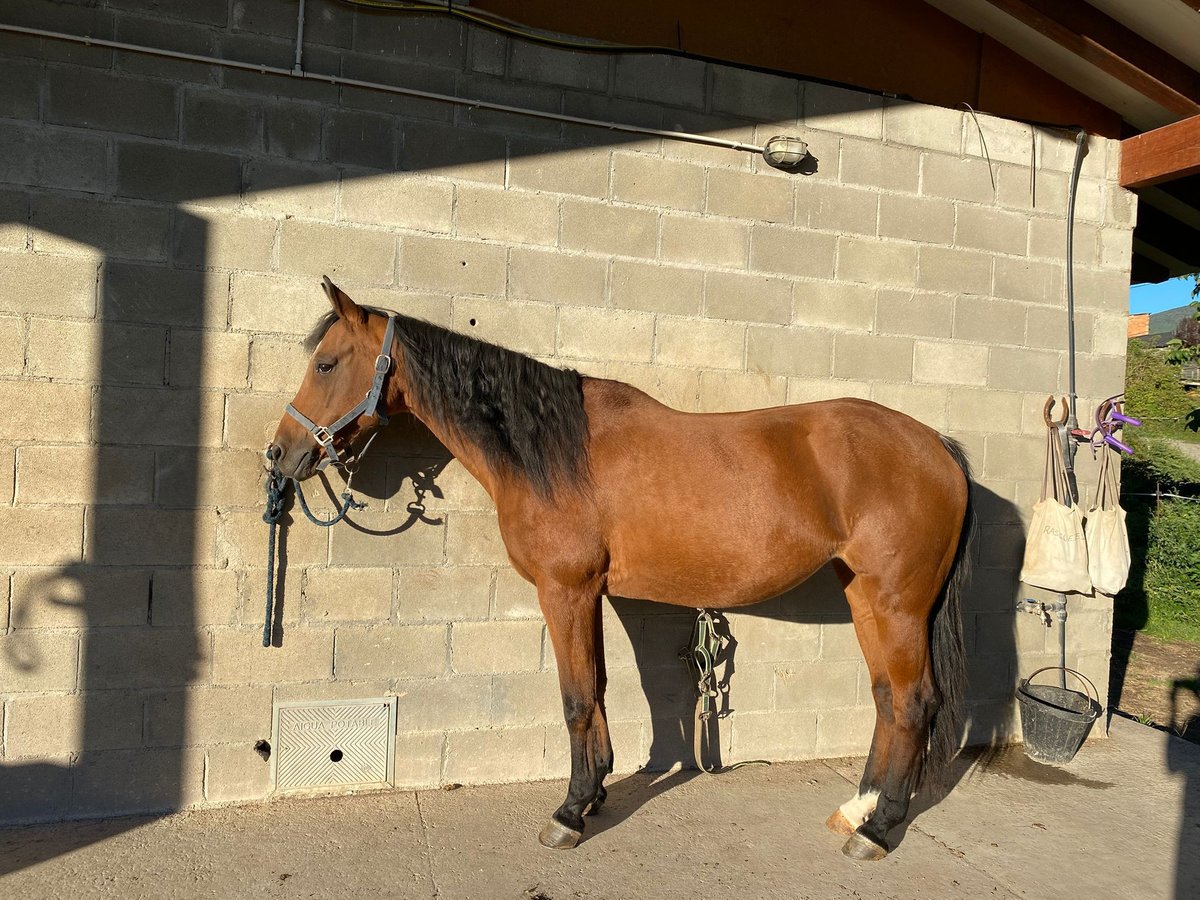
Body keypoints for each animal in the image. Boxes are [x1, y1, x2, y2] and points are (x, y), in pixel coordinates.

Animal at [267, 278, 969, 864]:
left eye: (325, 363)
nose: (282, 454)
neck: (555, 450)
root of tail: (937, 448)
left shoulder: (566, 591)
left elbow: (577, 697)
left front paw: (570, 813)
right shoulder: (593, 595)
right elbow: (600, 688)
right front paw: (596, 792)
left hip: (899, 603)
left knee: (914, 703)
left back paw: (880, 830)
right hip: (865, 596)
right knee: (887, 698)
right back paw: (859, 810)